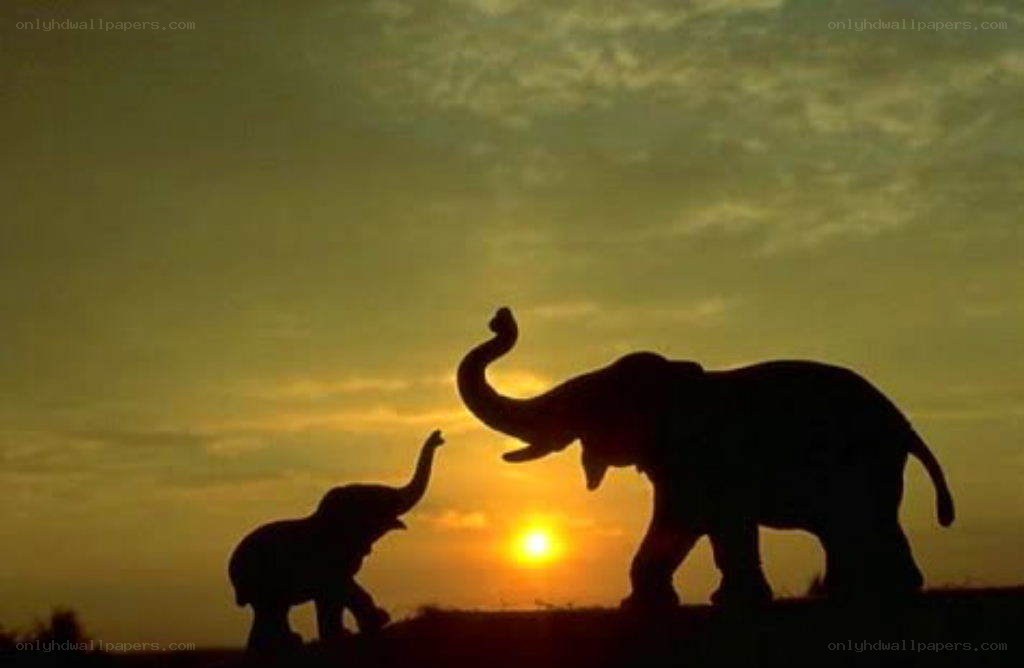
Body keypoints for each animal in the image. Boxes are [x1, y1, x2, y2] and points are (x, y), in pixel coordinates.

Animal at [228, 429, 445, 652]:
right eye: (381, 502)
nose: (439, 436)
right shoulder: (330, 559)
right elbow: (340, 587)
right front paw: (372, 624)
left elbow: (338, 592)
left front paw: (355, 630)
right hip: (261, 579)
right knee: (271, 608)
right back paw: (284, 644)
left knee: (274, 609)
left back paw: (280, 644)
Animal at [457, 308, 954, 609]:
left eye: (592, 405)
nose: (499, 318)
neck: (679, 379)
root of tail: (905, 424)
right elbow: (685, 520)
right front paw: (647, 606)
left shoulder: (710, 456)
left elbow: (703, 520)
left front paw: (732, 603)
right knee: (849, 526)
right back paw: (860, 594)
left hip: (867, 461)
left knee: (862, 522)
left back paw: (884, 594)